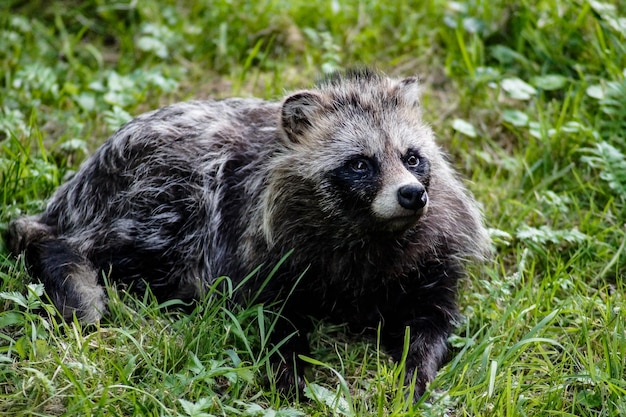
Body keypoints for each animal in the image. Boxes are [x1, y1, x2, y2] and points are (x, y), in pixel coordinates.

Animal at [7, 68, 490, 396]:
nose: (412, 194)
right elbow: (269, 317)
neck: (368, 233)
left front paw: (416, 371)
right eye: (360, 164)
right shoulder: (257, 247)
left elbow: (432, 322)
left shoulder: (430, 257)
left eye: (412, 158)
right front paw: (288, 372)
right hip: (157, 188)